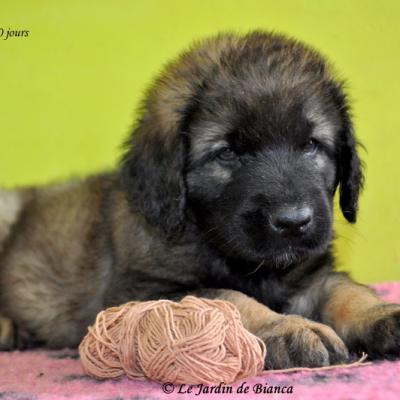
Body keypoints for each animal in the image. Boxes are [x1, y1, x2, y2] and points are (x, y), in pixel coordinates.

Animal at [0, 31, 399, 369]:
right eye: (227, 153)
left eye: (312, 144)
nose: (292, 221)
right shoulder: (141, 293)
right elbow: (226, 299)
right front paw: (288, 328)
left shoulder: (309, 273)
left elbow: (344, 290)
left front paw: (379, 314)